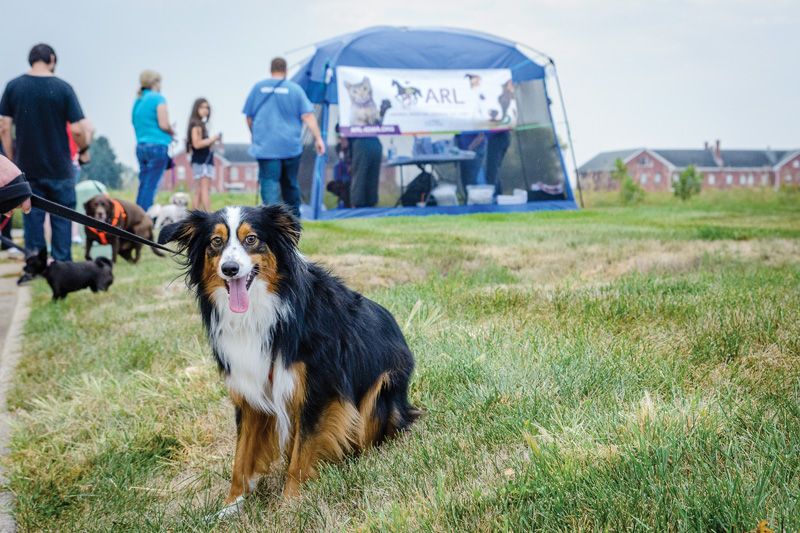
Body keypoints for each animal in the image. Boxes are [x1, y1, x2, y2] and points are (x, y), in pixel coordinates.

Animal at [157, 205, 418, 512]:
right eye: (216, 242)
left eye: (252, 239)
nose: (230, 269)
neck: (262, 310)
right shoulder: (250, 390)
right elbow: (241, 457)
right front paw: (231, 505)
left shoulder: (319, 388)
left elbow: (301, 454)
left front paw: (290, 504)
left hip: (381, 391)